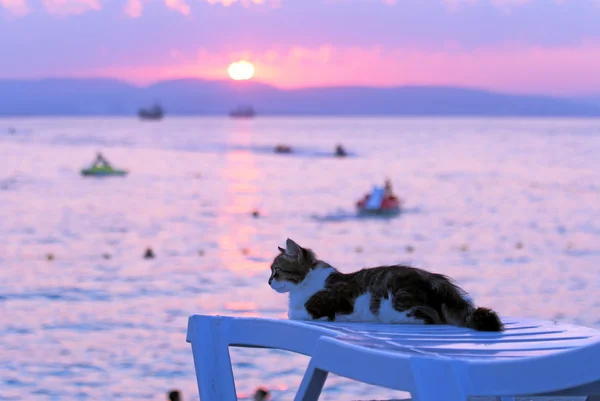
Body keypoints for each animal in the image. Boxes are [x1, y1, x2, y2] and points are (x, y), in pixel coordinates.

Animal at [268, 239, 502, 330]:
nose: (269, 281)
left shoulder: (324, 306)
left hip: (392, 303)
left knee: (432, 318)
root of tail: (436, 280)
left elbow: (295, 312)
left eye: (276, 271)